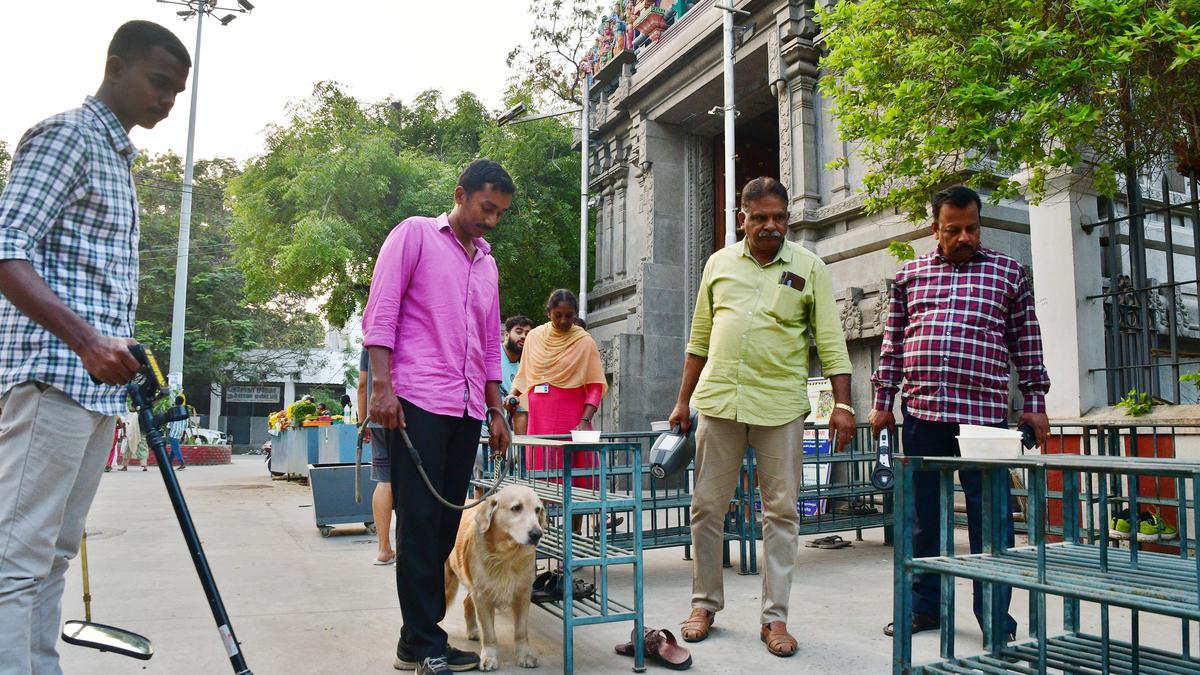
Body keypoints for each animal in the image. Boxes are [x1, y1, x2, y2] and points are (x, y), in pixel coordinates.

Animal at [448, 482, 547, 667]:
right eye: (516, 508)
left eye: (537, 510)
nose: (537, 534)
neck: (506, 555)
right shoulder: (482, 596)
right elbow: (489, 634)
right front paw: (489, 656)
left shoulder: (523, 593)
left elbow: (521, 631)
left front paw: (525, 655)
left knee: (466, 602)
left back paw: (473, 630)